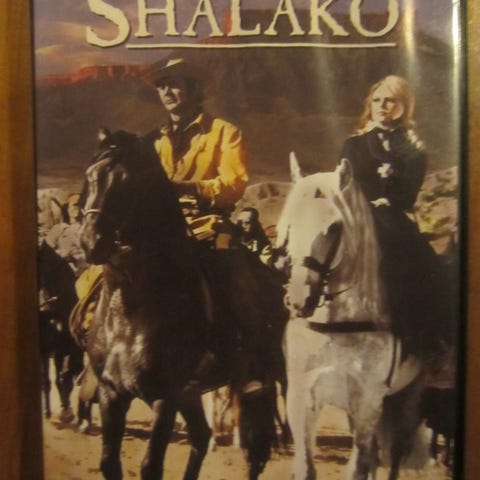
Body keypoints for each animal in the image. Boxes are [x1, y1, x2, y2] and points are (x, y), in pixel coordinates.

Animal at [38, 240, 84, 422]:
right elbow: (46, 381)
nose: (44, 307)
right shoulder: (45, 350)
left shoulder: (62, 349)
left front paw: (66, 410)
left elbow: (62, 378)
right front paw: (47, 412)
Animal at [79, 128, 288, 480]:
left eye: (129, 181)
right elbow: (109, 463)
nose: (91, 241)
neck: (131, 311)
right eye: (91, 176)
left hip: (256, 382)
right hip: (192, 394)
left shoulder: (166, 395)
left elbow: (151, 466)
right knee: (202, 437)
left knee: (254, 450)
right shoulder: (111, 392)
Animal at [276, 155, 428, 480]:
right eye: (290, 225)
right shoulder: (302, 399)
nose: (298, 299)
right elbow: (306, 467)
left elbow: (358, 466)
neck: (335, 328)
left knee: (394, 454)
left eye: (334, 227)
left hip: (408, 397)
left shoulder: (367, 404)